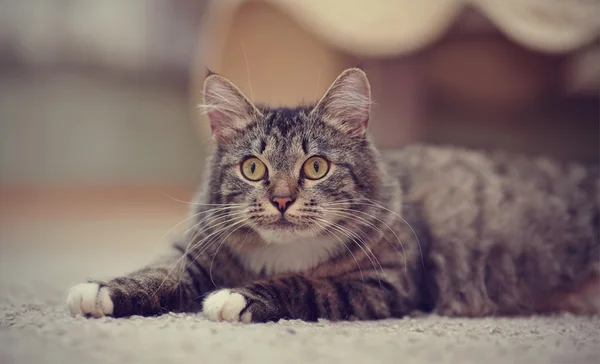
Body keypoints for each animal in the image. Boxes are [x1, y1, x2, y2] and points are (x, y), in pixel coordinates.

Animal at [67, 67, 600, 322]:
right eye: (253, 168)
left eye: (316, 167)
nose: (282, 200)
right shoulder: (194, 254)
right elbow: (157, 274)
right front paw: (101, 291)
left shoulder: (383, 286)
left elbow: (302, 284)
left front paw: (235, 299)